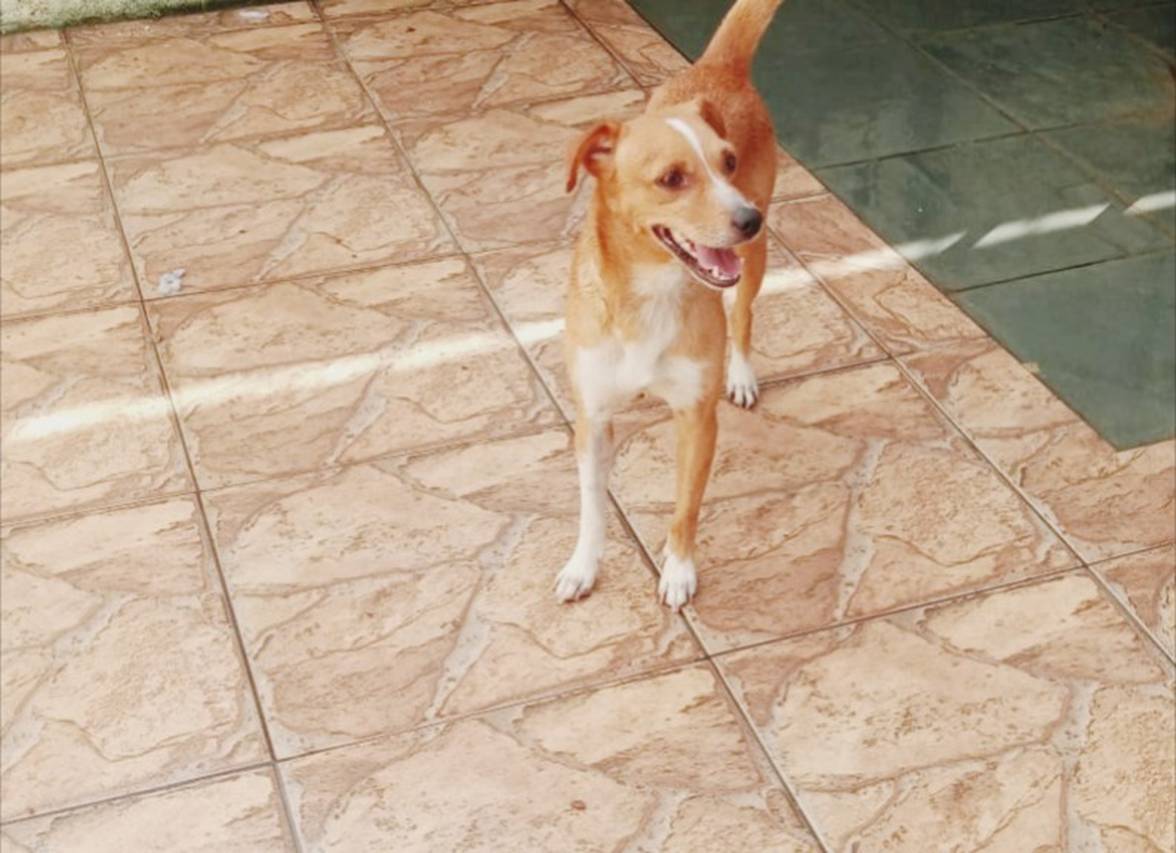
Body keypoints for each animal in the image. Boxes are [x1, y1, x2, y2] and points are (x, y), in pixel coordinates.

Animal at [556, 0, 783, 609]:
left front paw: (678, 571)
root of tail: (716, 69)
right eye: (672, 179)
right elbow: (591, 506)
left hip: (755, 260)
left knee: (743, 314)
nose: (748, 217)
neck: (648, 297)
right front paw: (583, 566)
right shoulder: (592, 417)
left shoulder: (696, 418)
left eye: (727, 163)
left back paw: (742, 374)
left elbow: (685, 508)